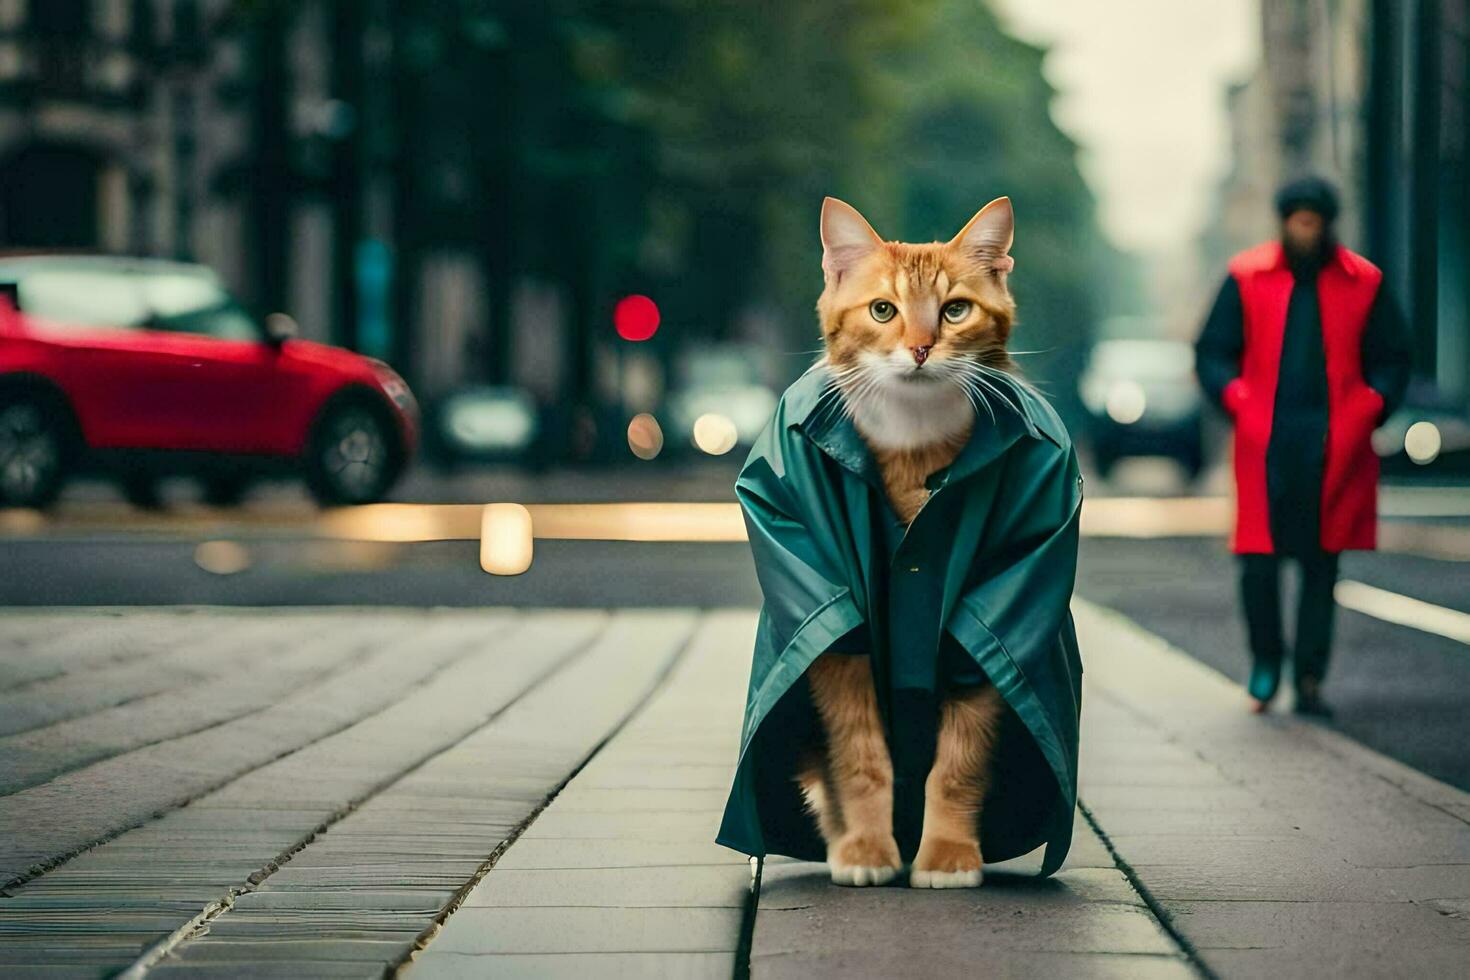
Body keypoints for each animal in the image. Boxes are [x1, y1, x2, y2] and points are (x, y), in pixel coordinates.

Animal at [793, 196, 1023, 887]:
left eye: (955, 310)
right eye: (882, 310)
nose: (921, 349)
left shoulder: (984, 620)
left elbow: (960, 760)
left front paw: (947, 853)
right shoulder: (841, 636)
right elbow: (861, 755)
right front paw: (868, 847)